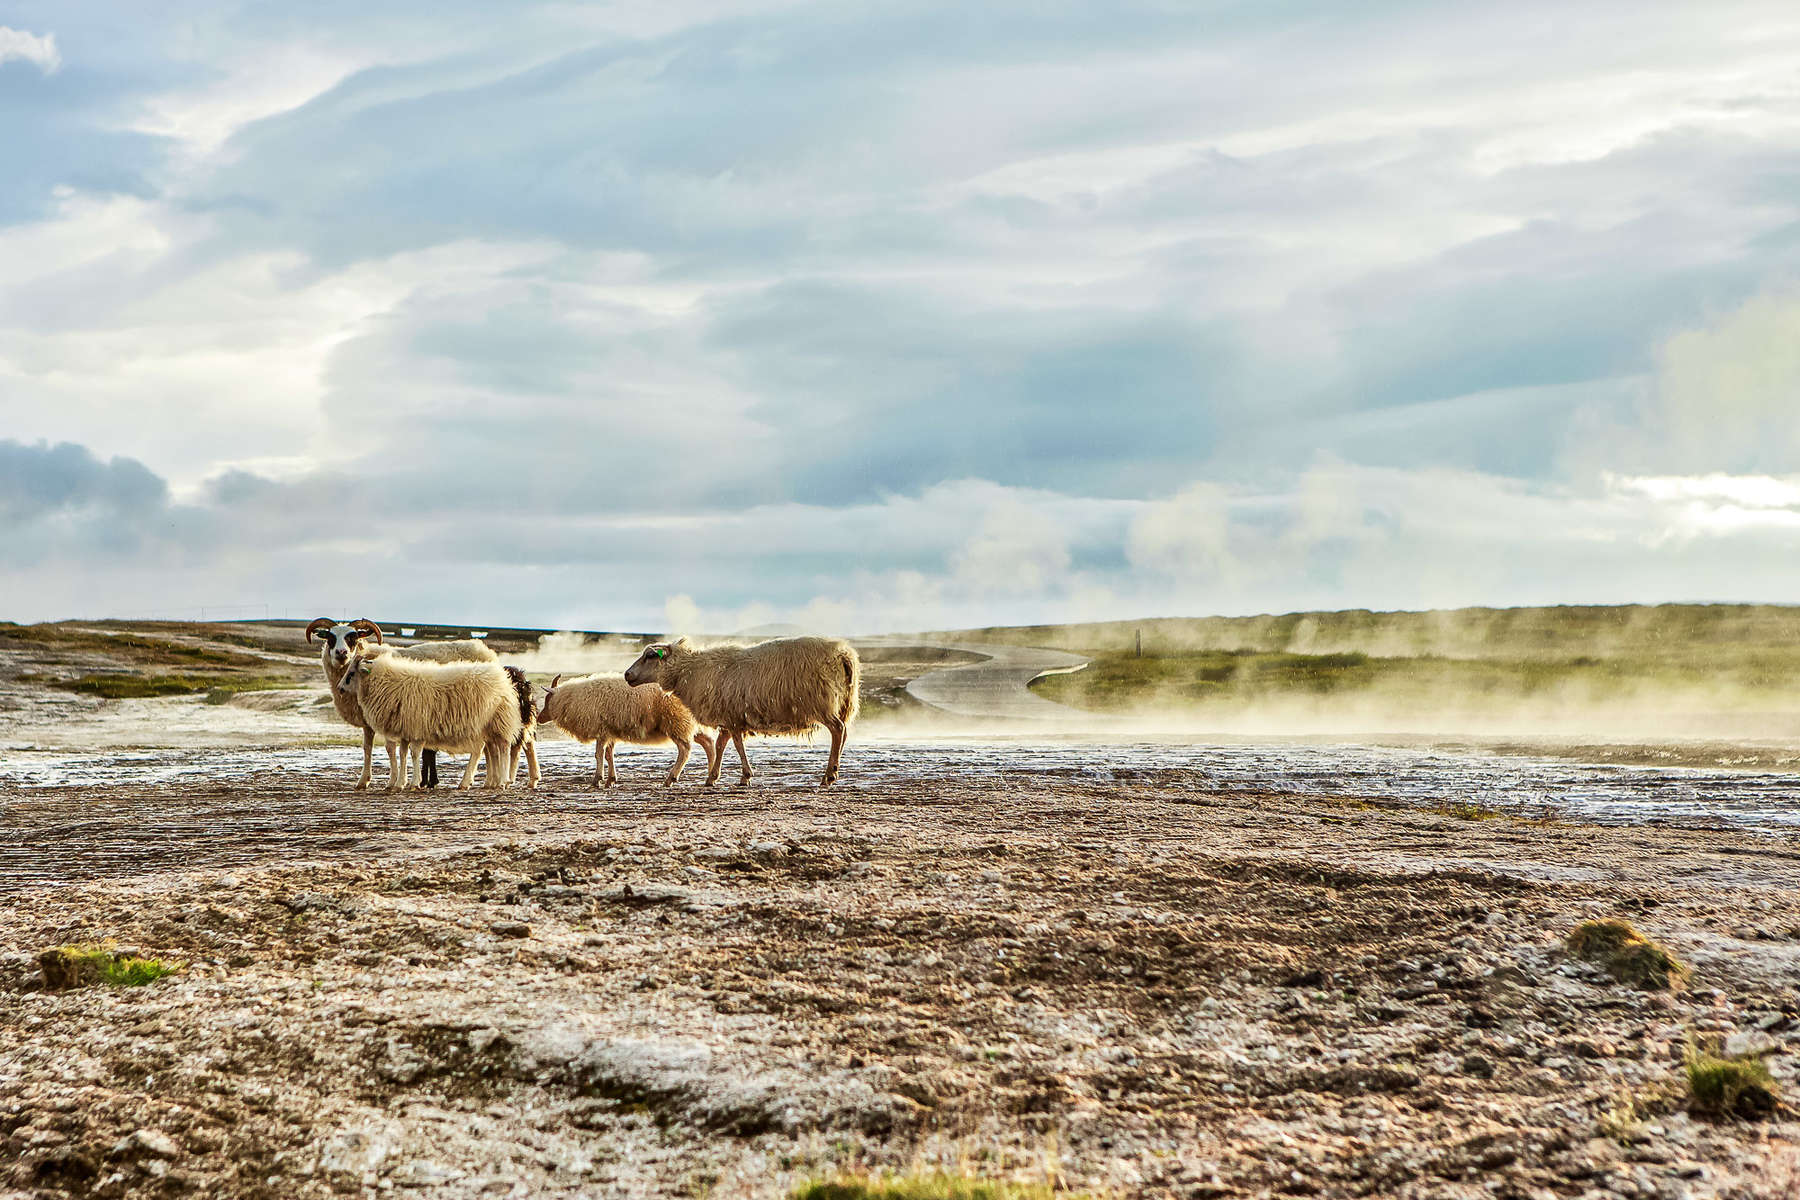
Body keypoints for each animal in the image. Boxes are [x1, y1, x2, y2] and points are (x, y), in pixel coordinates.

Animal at [302, 618, 496, 788]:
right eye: (330, 637)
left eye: (353, 637)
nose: (341, 653)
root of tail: (485, 650)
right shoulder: (370, 722)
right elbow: (367, 748)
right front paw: (364, 780)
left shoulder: (390, 714)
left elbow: (390, 748)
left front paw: (393, 781)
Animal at [336, 651, 522, 791]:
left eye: (351, 673)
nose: (340, 688)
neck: (385, 683)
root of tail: (503, 679)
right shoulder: (406, 729)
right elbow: (403, 753)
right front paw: (400, 783)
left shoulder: (417, 728)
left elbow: (414, 753)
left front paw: (414, 783)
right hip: (488, 726)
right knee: (488, 750)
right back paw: (485, 782)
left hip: (498, 722)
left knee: (502, 748)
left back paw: (500, 781)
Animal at [540, 676, 716, 788]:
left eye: (547, 699)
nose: (539, 718)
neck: (571, 699)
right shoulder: (609, 732)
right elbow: (608, 755)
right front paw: (610, 780)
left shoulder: (601, 730)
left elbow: (599, 754)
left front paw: (597, 779)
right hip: (688, 724)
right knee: (708, 743)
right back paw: (711, 777)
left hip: (675, 722)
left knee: (685, 749)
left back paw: (671, 778)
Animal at [626, 633, 856, 791]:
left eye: (650, 655)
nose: (627, 675)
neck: (691, 671)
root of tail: (843, 654)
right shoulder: (729, 715)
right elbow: (721, 745)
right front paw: (713, 777)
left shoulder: (733, 716)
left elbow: (736, 744)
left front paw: (745, 775)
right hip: (844, 703)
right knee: (844, 732)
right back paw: (833, 772)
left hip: (823, 702)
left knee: (838, 730)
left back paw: (829, 775)